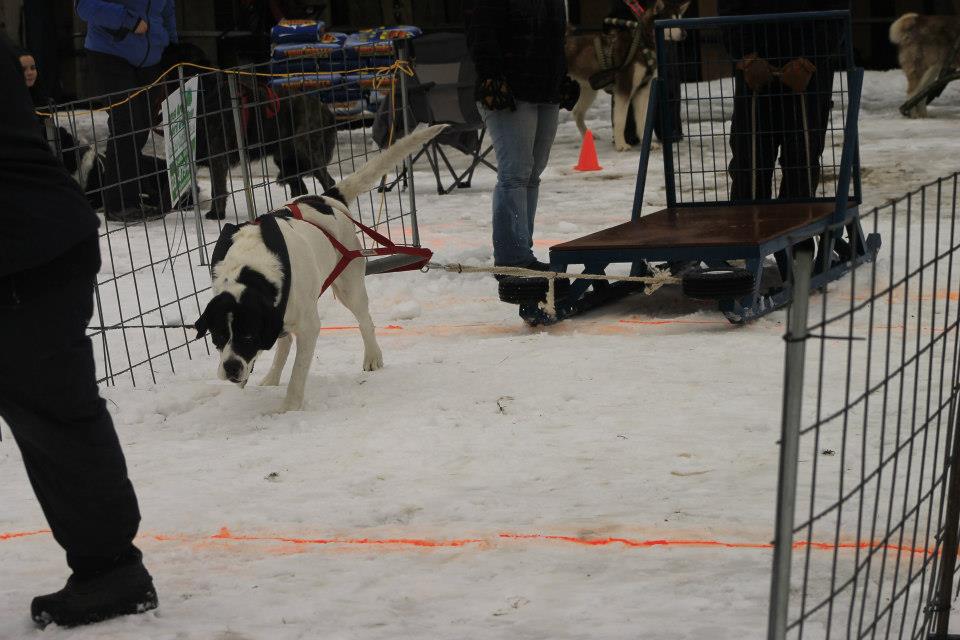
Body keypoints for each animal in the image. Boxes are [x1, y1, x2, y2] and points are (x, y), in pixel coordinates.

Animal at [196, 123, 450, 412]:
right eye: (217, 336)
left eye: (248, 336)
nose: (230, 368)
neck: (252, 270)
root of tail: (328, 198)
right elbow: (282, 345)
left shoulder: (308, 326)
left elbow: (298, 373)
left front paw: (289, 408)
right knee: (285, 342)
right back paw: (272, 377)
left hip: (350, 287)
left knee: (365, 321)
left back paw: (372, 356)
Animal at [564, 0, 688, 151]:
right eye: (669, 20)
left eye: (680, 19)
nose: (685, 33)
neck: (643, 44)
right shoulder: (624, 88)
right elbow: (620, 119)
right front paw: (621, 144)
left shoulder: (644, 90)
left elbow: (643, 120)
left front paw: (647, 143)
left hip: (589, 90)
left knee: (577, 112)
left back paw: (588, 135)